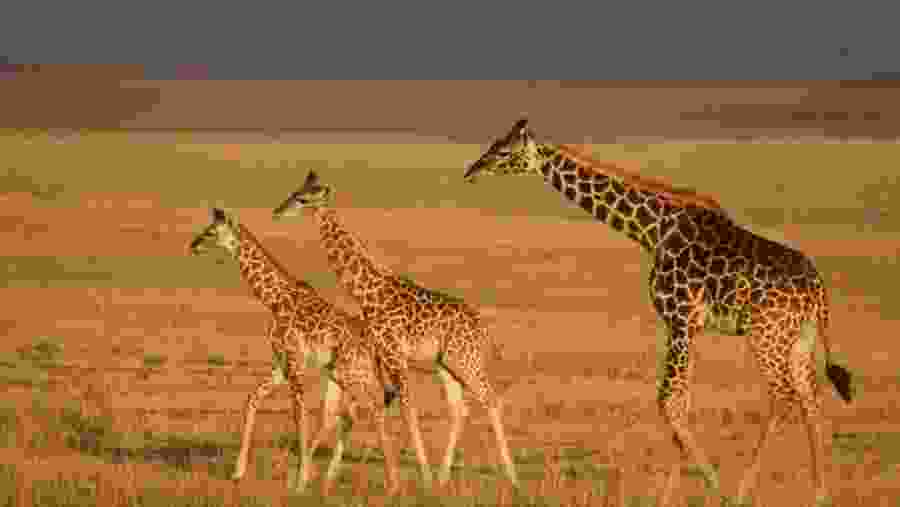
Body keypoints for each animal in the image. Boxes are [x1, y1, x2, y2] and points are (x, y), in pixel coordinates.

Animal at [188, 207, 400, 494]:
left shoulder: (295, 361)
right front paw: (238, 472)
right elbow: (253, 399)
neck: (274, 299)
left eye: (211, 231)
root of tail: (373, 344)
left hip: (348, 373)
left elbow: (299, 414)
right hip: (350, 373)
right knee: (359, 411)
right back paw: (336, 479)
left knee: (371, 409)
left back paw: (392, 484)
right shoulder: (282, 363)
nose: (194, 245)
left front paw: (300, 480)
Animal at [271, 171, 519, 491]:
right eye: (294, 192)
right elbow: (373, 409)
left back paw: (511, 477)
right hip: (446, 365)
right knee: (459, 409)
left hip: (464, 360)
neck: (368, 291)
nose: (278, 212)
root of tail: (483, 329)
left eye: (303, 199)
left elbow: (405, 409)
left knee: (491, 400)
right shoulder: (380, 358)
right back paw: (444, 478)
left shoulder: (393, 355)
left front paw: (419, 478)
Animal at [462, 119, 854, 506]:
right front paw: (673, 493)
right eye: (494, 143)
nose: (471, 170)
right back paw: (819, 493)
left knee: (783, 396)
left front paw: (712, 486)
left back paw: (744, 489)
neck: (654, 231)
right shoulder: (690, 327)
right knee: (810, 398)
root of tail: (818, 289)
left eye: (504, 151)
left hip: (766, 335)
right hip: (799, 338)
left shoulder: (677, 319)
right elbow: (681, 402)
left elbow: (668, 403)